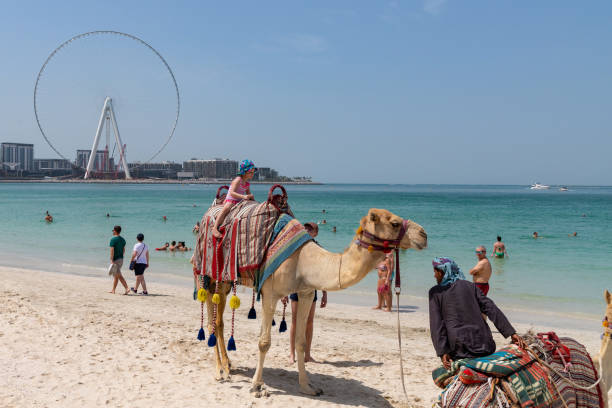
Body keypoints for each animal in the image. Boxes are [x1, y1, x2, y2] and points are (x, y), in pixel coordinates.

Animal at [201, 209, 426, 394]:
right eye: (394, 223)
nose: (423, 235)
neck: (304, 262)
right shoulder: (270, 293)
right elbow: (264, 342)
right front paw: (257, 386)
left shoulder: (306, 292)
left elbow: (301, 341)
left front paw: (307, 387)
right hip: (208, 276)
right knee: (212, 321)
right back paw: (219, 371)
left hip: (226, 282)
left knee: (219, 322)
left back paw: (228, 365)